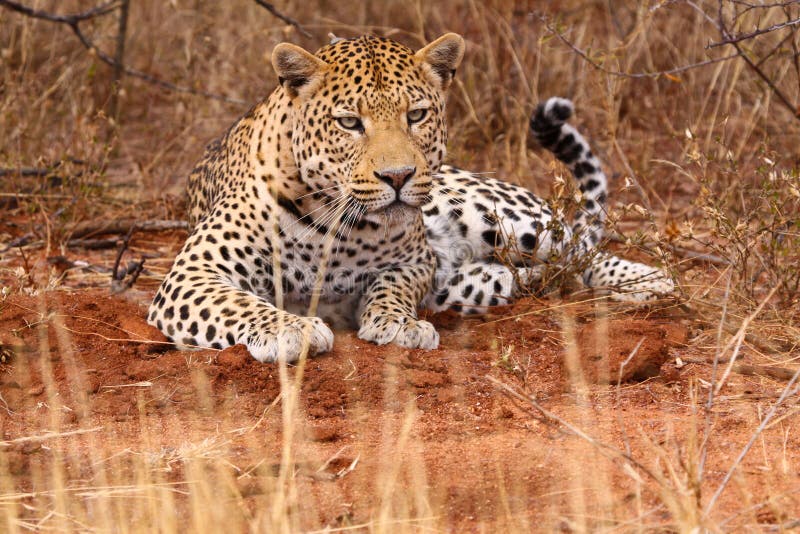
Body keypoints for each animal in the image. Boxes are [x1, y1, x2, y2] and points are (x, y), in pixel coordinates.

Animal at [147, 33, 672, 364]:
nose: (397, 176)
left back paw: (650, 280)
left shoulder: (414, 259)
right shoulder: (192, 273)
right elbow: (239, 304)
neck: (333, 220)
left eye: (416, 115)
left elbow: (392, 286)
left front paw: (398, 323)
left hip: (496, 216)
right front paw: (291, 329)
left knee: (577, 249)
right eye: (349, 122)